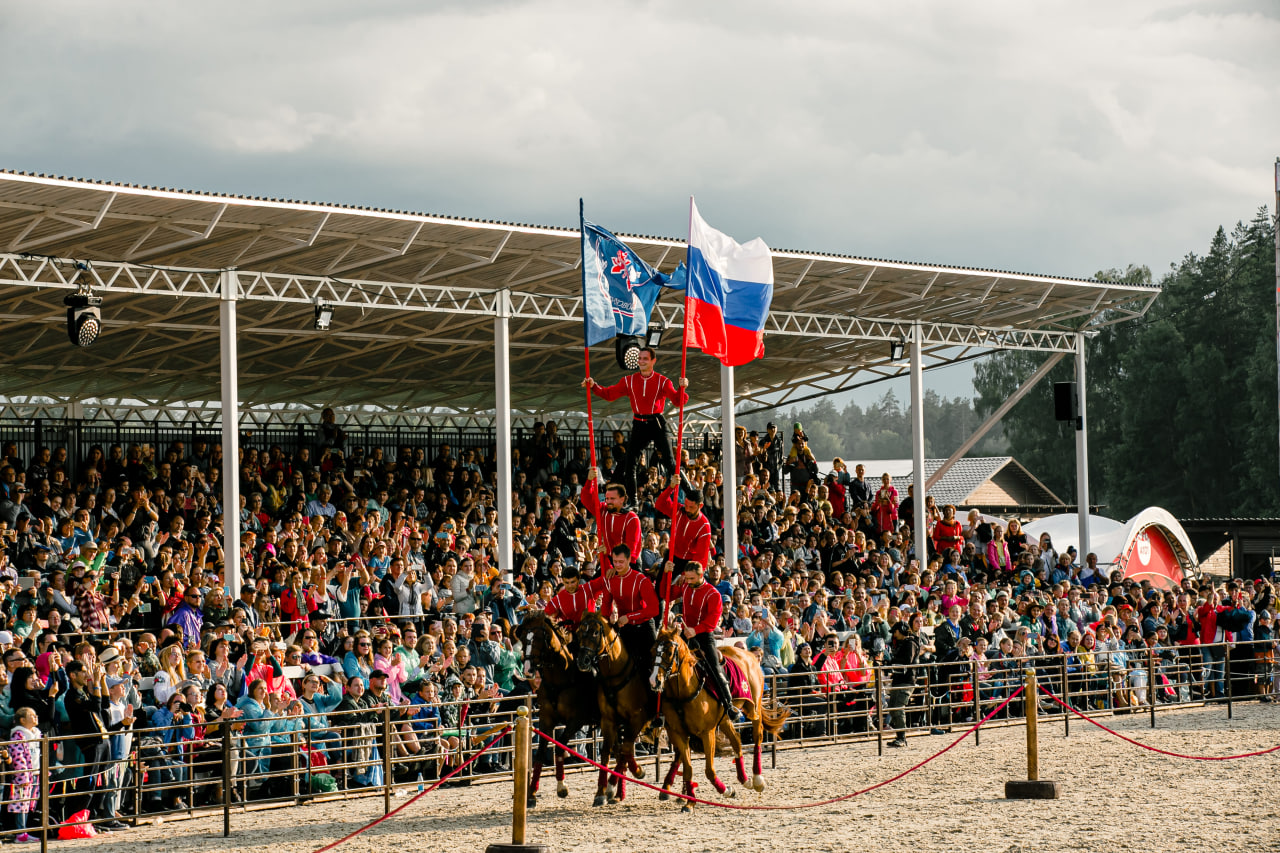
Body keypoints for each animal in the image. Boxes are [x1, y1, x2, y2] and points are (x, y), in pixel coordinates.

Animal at [517, 607, 601, 799]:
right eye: (524, 638)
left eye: (538, 639)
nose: (528, 669)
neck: (560, 679)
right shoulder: (546, 720)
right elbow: (541, 752)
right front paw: (531, 791)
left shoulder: (576, 721)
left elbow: (560, 748)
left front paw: (562, 786)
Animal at [581, 607, 660, 799]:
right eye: (579, 631)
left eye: (595, 632)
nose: (582, 660)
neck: (616, 674)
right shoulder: (609, 720)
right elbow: (608, 752)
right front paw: (601, 791)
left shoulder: (637, 718)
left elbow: (624, 750)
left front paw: (634, 772)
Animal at [655, 622, 783, 809]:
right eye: (652, 650)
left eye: (669, 652)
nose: (655, 680)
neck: (684, 690)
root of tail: (750, 655)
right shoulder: (678, 733)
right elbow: (688, 767)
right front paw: (688, 801)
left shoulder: (706, 732)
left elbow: (708, 770)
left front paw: (726, 790)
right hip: (725, 719)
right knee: (736, 741)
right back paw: (744, 779)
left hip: (754, 708)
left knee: (757, 736)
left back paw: (757, 779)